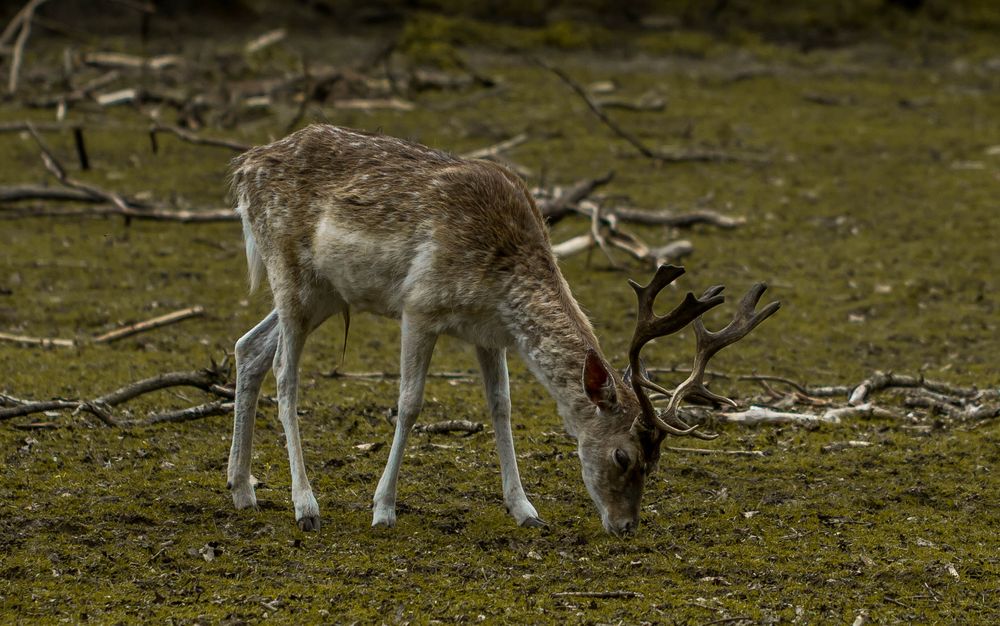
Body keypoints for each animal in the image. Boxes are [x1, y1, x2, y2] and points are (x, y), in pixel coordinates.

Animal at [229, 124, 780, 532]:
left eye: (655, 462)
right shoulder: (418, 306)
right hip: (288, 271)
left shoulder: (488, 334)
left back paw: (241, 489)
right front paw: (382, 510)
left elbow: (502, 407)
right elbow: (409, 404)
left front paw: (525, 510)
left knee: (249, 347)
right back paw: (306, 507)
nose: (626, 526)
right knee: (285, 374)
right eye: (623, 456)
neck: (499, 273)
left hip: (324, 293)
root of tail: (242, 168)